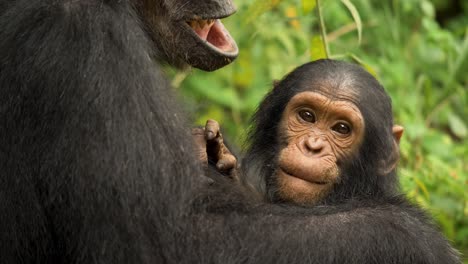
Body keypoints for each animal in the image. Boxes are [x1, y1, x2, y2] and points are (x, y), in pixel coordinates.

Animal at [0, 0, 460, 262]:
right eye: (307, 117)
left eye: (342, 128)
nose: (313, 145)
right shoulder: (78, 34)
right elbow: (171, 241)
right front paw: (405, 236)